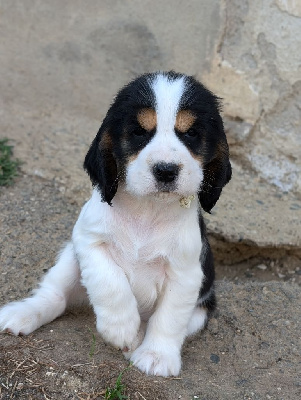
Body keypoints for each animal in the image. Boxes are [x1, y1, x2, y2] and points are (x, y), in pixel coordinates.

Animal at [0, 72, 232, 378]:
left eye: (191, 133)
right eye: (139, 132)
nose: (166, 170)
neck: (147, 210)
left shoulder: (185, 273)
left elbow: (168, 318)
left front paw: (156, 356)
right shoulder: (87, 240)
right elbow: (110, 282)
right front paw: (120, 328)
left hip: (200, 312)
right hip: (69, 260)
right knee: (54, 296)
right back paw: (22, 314)